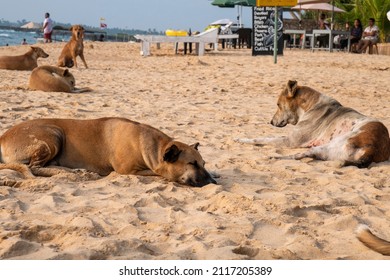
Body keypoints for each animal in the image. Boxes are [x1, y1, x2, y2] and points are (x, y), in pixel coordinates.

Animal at [0, 117, 216, 187]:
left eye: (203, 163)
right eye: (191, 163)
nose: (213, 182)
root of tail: (2, 138)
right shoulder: (128, 170)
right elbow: (159, 173)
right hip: (53, 135)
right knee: (35, 167)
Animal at [235, 80, 390, 167]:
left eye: (278, 104)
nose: (271, 122)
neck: (312, 105)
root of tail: (373, 149)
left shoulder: (289, 141)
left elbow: (259, 138)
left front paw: (240, 139)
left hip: (333, 144)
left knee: (298, 155)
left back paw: (272, 157)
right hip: (328, 152)